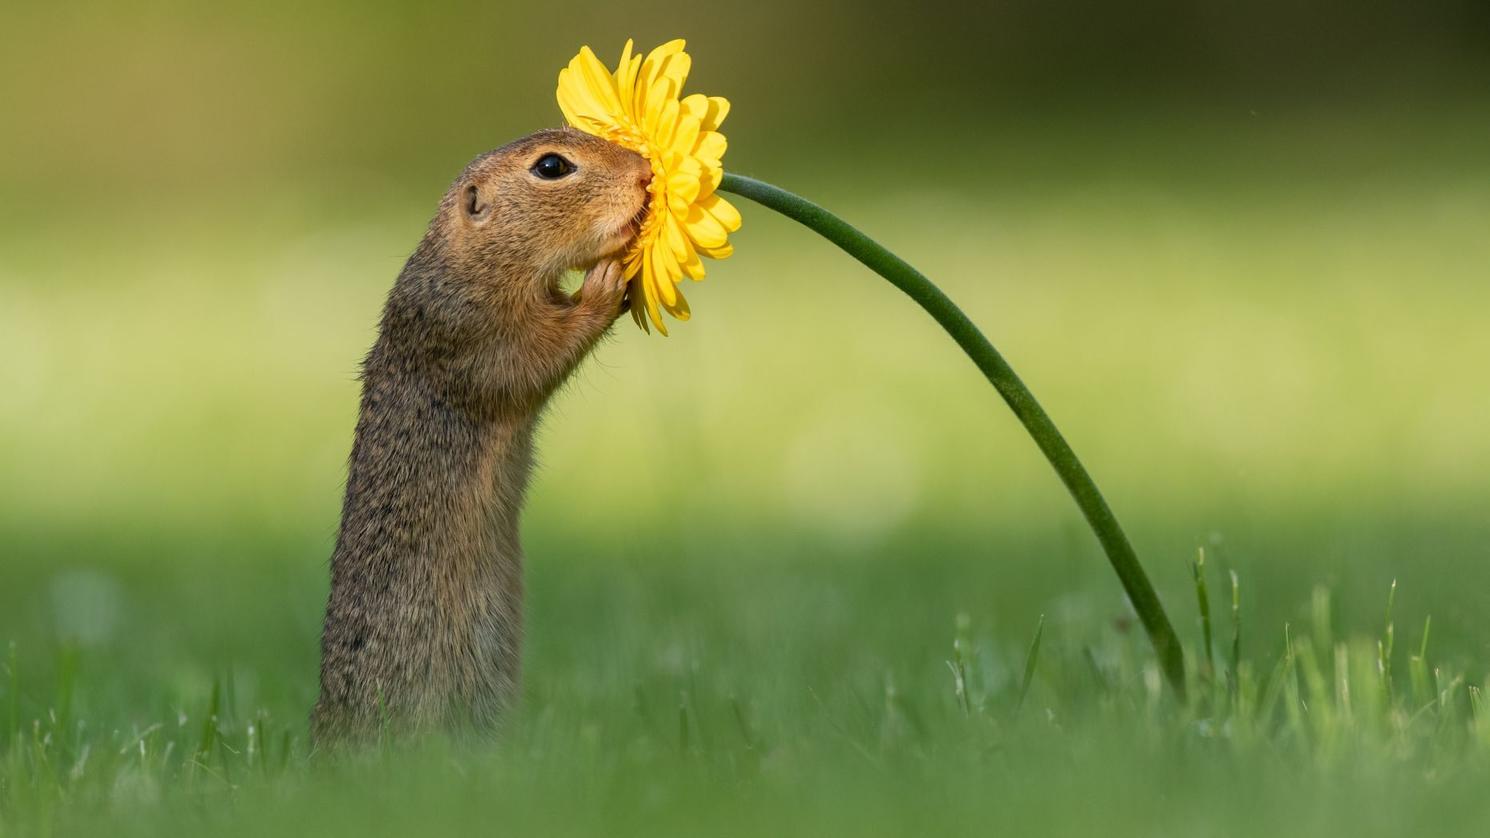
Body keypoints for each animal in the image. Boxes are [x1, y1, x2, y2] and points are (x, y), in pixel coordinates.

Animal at [311, 127, 649, 739]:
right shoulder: (474, 332)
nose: (644, 171)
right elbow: (537, 355)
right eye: (552, 167)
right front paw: (607, 282)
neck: (471, 260)